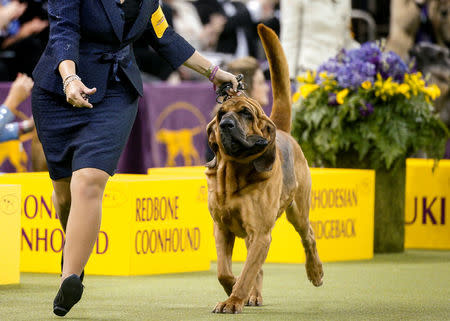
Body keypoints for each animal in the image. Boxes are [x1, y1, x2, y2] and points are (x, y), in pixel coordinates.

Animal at [204, 24, 324, 312]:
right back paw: (253, 295)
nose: (225, 124)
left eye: (246, 114)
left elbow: (247, 271)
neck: (233, 175)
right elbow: (225, 271)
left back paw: (315, 272)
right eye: (220, 113)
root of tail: (282, 131)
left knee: (309, 236)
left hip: (298, 211)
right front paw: (233, 290)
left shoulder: (260, 233)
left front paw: (234, 300)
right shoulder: (222, 229)